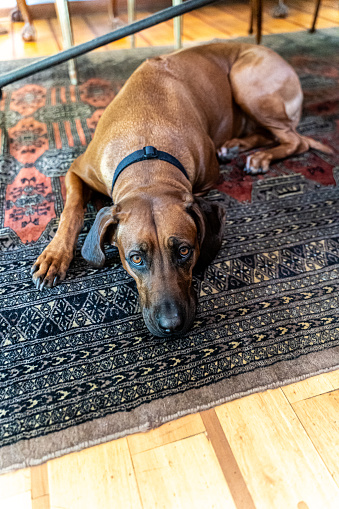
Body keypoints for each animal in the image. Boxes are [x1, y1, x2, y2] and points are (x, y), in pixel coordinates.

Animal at [30, 43, 334, 336]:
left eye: (185, 251)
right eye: (136, 258)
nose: (171, 325)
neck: (147, 150)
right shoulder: (77, 170)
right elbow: (71, 210)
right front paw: (54, 256)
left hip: (246, 81)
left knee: (296, 140)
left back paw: (260, 157)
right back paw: (236, 146)